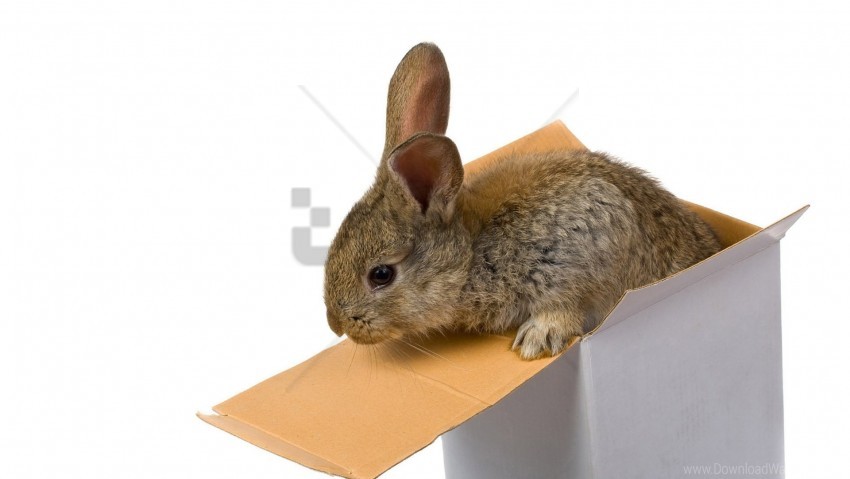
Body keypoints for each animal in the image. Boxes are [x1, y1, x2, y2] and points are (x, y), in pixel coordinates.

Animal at [323, 43, 721, 360]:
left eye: (381, 274)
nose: (336, 324)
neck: (470, 254)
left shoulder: (584, 246)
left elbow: (569, 305)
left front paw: (537, 339)